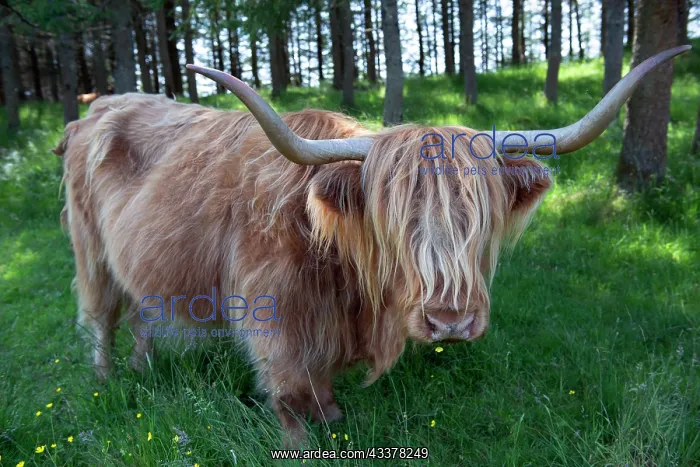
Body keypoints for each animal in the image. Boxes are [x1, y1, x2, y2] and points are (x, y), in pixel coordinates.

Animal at [54, 46, 689, 443]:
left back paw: (143, 370)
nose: (451, 321)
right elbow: (287, 386)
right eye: (397, 220)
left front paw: (334, 415)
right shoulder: (271, 313)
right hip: (90, 251)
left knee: (140, 312)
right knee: (102, 316)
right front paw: (302, 439)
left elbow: (320, 385)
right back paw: (108, 382)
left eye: (478, 219)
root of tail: (101, 104)